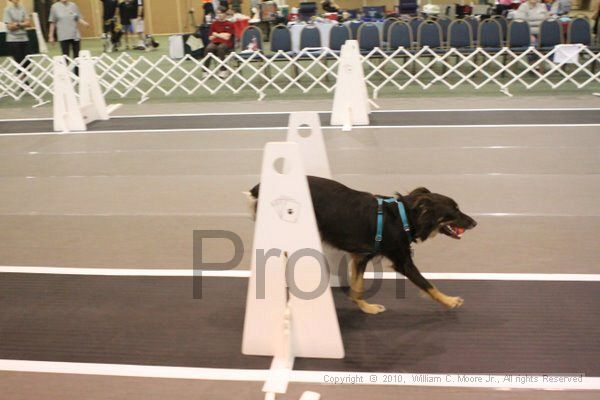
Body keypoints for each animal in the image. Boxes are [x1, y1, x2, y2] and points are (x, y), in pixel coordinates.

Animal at [246, 177, 476, 314]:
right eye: (454, 210)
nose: (475, 222)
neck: (403, 216)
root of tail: (259, 187)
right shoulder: (403, 262)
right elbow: (428, 285)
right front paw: (449, 301)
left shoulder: (360, 257)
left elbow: (357, 287)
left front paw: (366, 307)